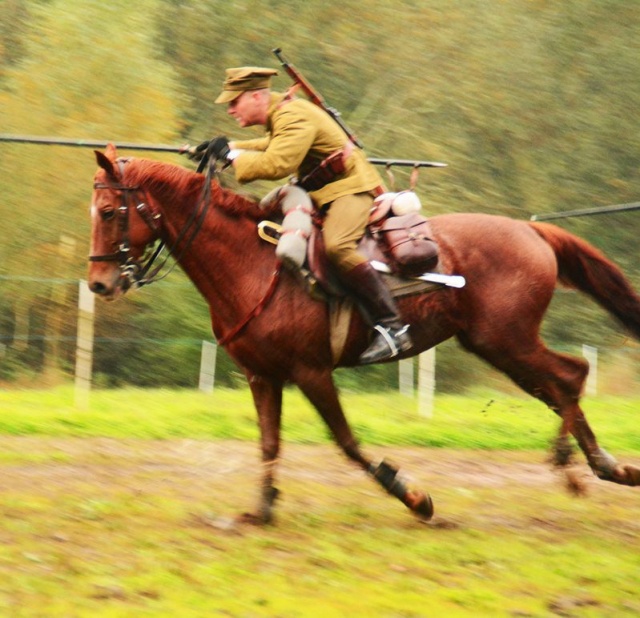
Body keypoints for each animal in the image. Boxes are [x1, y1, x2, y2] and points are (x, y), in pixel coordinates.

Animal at [89, 143, 640, 520]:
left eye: (111, 211)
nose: (99, 283)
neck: (255, 265)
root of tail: (530, 229)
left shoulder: (312, 372)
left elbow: (347, 443)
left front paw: (412, 495)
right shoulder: (263, 377)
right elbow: (269, 444)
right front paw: (262, 509)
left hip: (507, 341)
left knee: (571, 376)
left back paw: (578, 467)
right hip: (498, 346)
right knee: (562, 385)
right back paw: (605, 466)